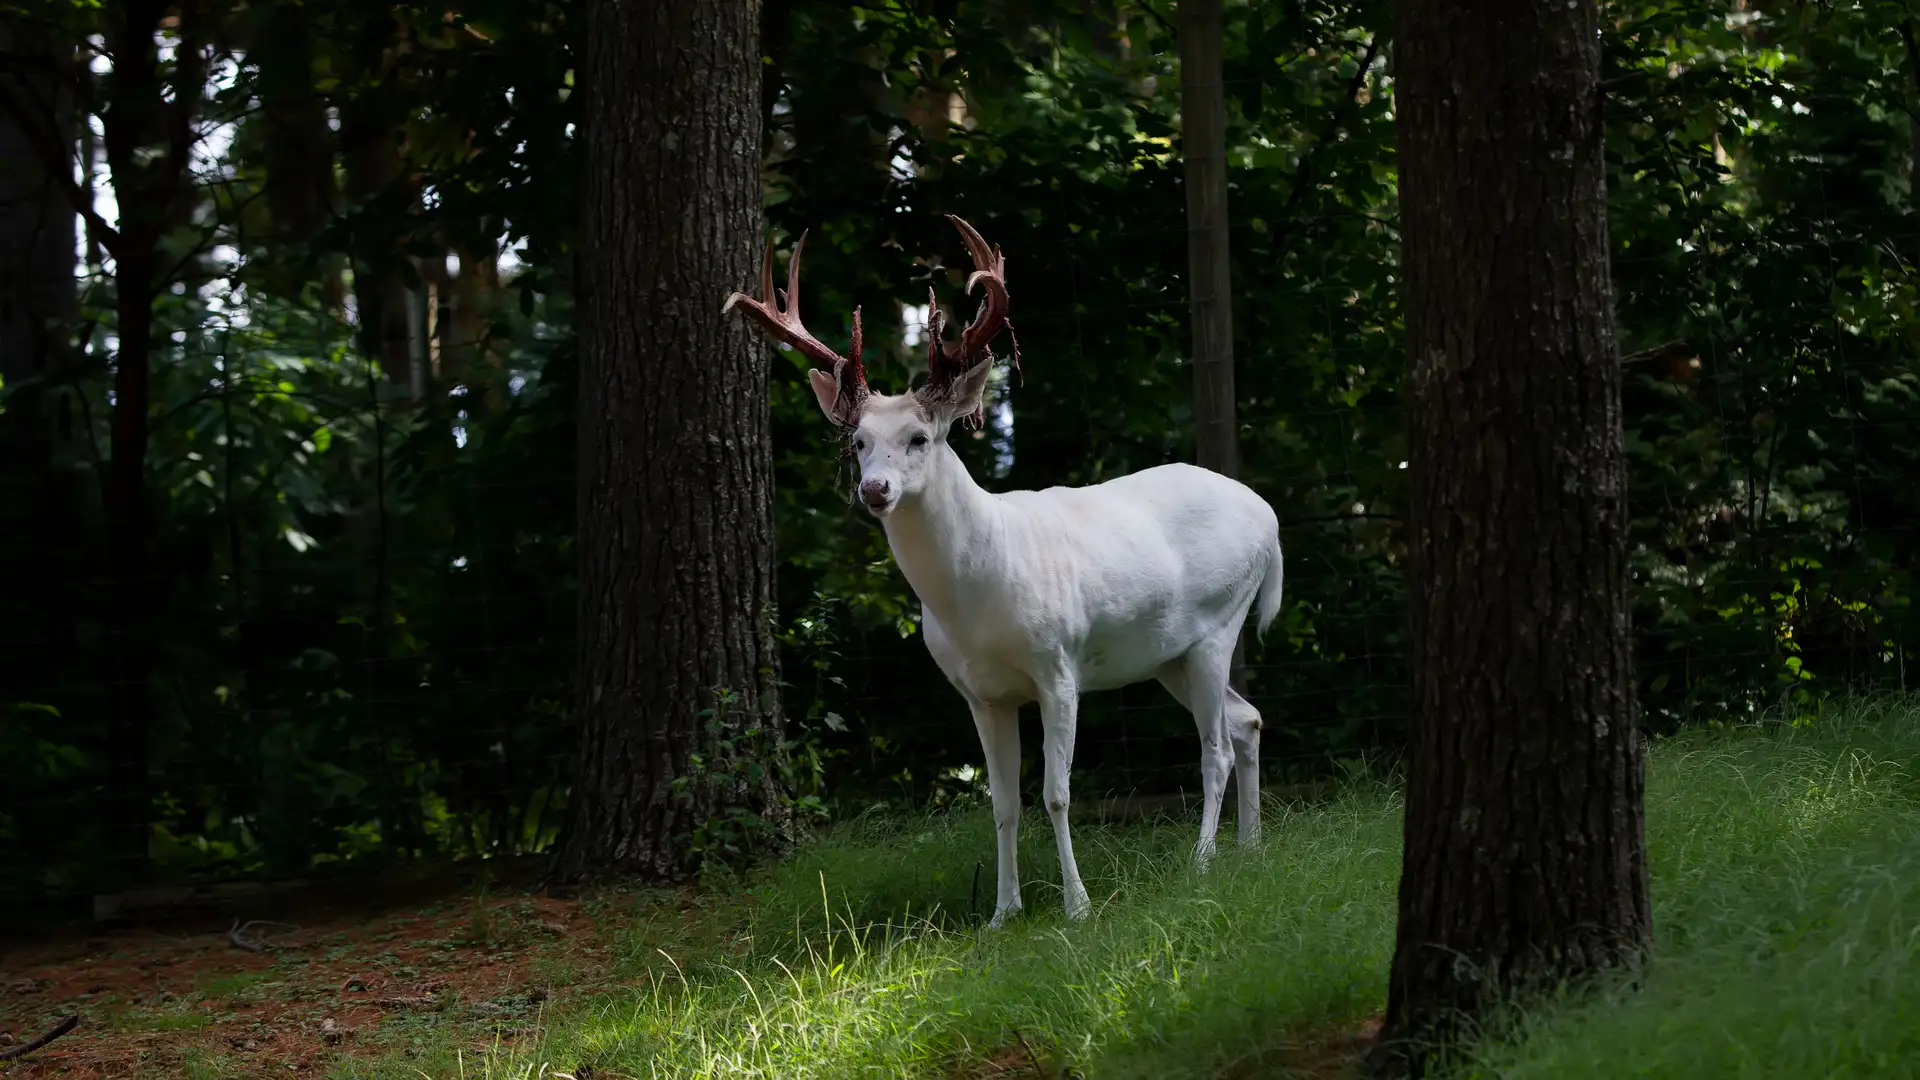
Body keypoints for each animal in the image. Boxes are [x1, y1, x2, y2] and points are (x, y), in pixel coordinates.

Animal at [724, 215, 1283, 927]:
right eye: (857, 442)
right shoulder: (980, 694)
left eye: (920, 438)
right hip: (1167, 654)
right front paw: (1001, 913)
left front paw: (1077, 907)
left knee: (1215, 747)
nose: (874, 489)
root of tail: (1268, 517)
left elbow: (1056, 795)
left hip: (1218, 623)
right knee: (1247, 720)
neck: (976, 598)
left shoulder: (1059, 668)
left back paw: (1203, 861)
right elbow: (1004, 802)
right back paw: (1250, 848)